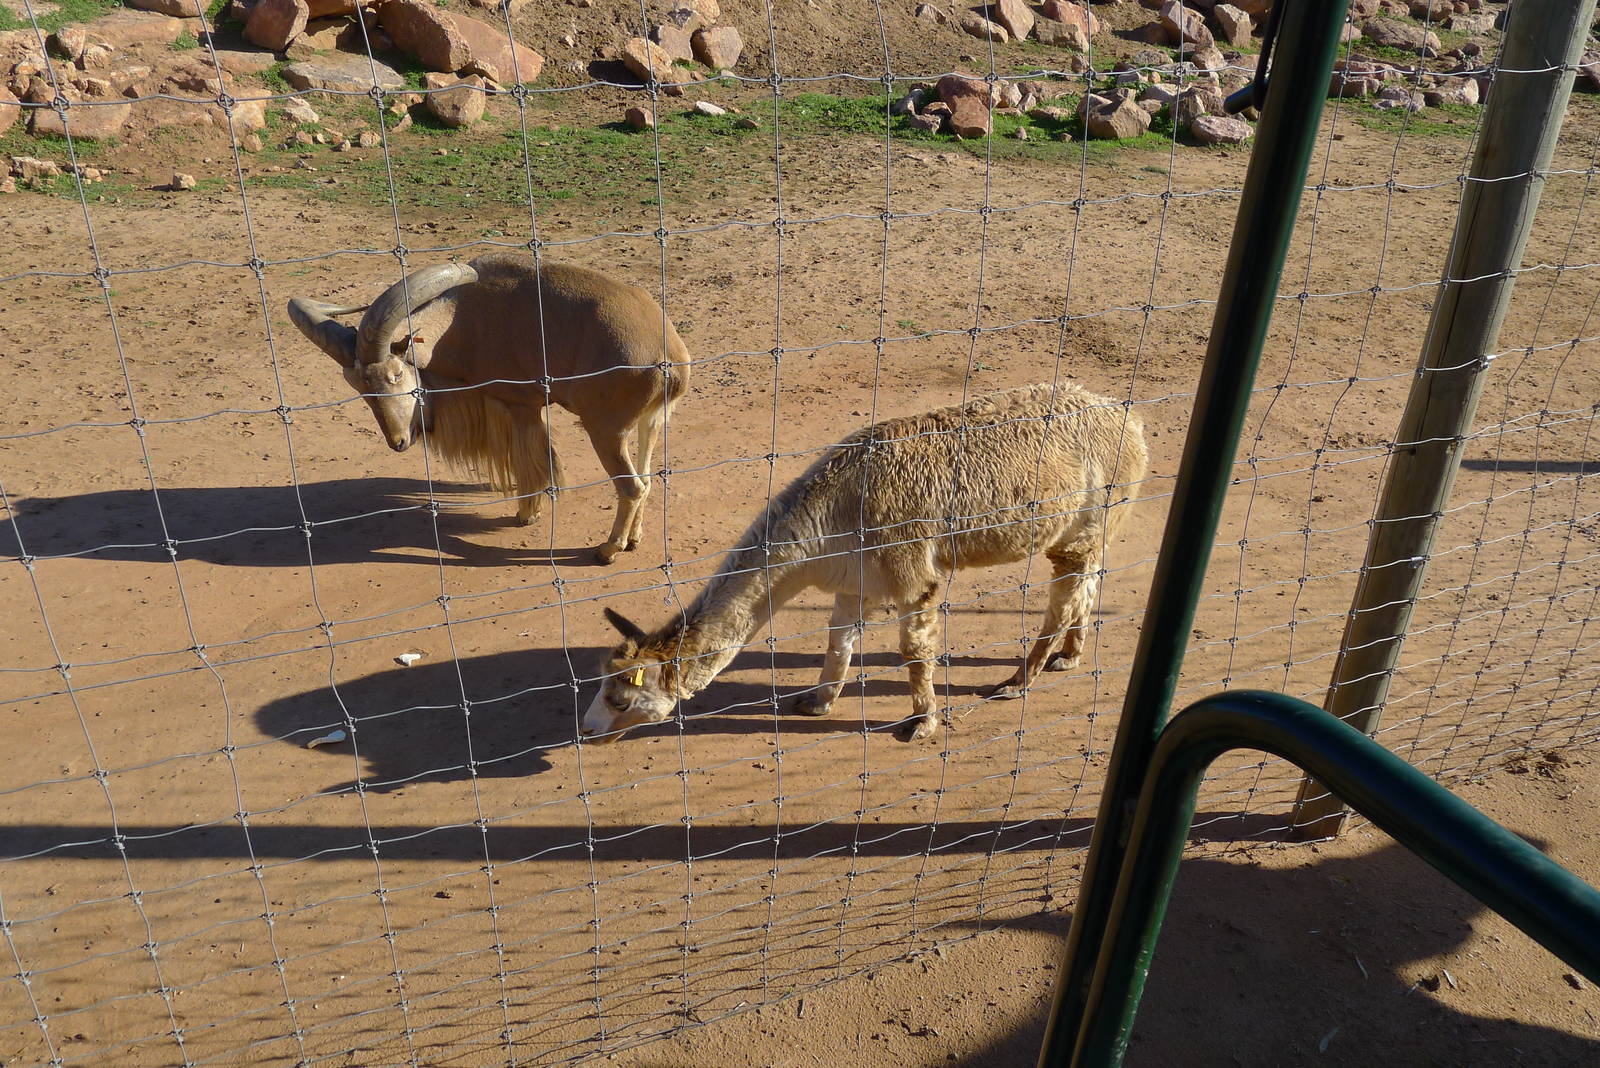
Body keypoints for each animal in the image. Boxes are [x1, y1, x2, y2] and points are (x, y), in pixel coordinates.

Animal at [288, 253, 692, 564]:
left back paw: (608, 549)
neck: (463, 318)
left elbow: (532, 465)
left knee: (631, 487)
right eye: (357, 388)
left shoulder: (520, 406)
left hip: (606, 430)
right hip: (650, 423)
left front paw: (526, 515)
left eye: (395, 374)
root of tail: (670, 360)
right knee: (647, 480)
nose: (399, 441)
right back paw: (633, 539)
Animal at [583, 382, 1147, 743]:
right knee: (1087, 582)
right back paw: (1070, 654)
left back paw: (1019, 681)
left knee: (1064, 595)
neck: (836, 513)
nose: (586, 728)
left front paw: (922, 723)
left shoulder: (910, 570)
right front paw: (818, 702)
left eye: (619, 699)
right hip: (1093, 524)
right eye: (603, 687)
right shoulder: (856, 580)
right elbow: (839, 641)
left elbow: (914, 650)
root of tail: (1127, 415)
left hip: (1091, 512)